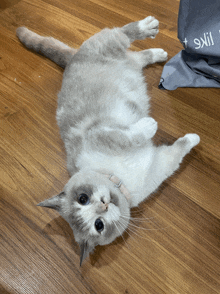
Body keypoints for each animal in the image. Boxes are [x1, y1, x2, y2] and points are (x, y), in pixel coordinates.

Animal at [16, 17, 200, 266]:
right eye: (99, 225)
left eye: (83, 198)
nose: (103, 204)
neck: (120, 178)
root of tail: (71, 59)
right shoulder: (161, 163)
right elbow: (180, 147)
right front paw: (194, 138)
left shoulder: (98, 134)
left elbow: (127, 137)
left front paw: (149, 125)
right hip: (129, 63)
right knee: (137, 57)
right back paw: (159, 53)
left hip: (109, 44)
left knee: (123, 34)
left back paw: (149, 28)